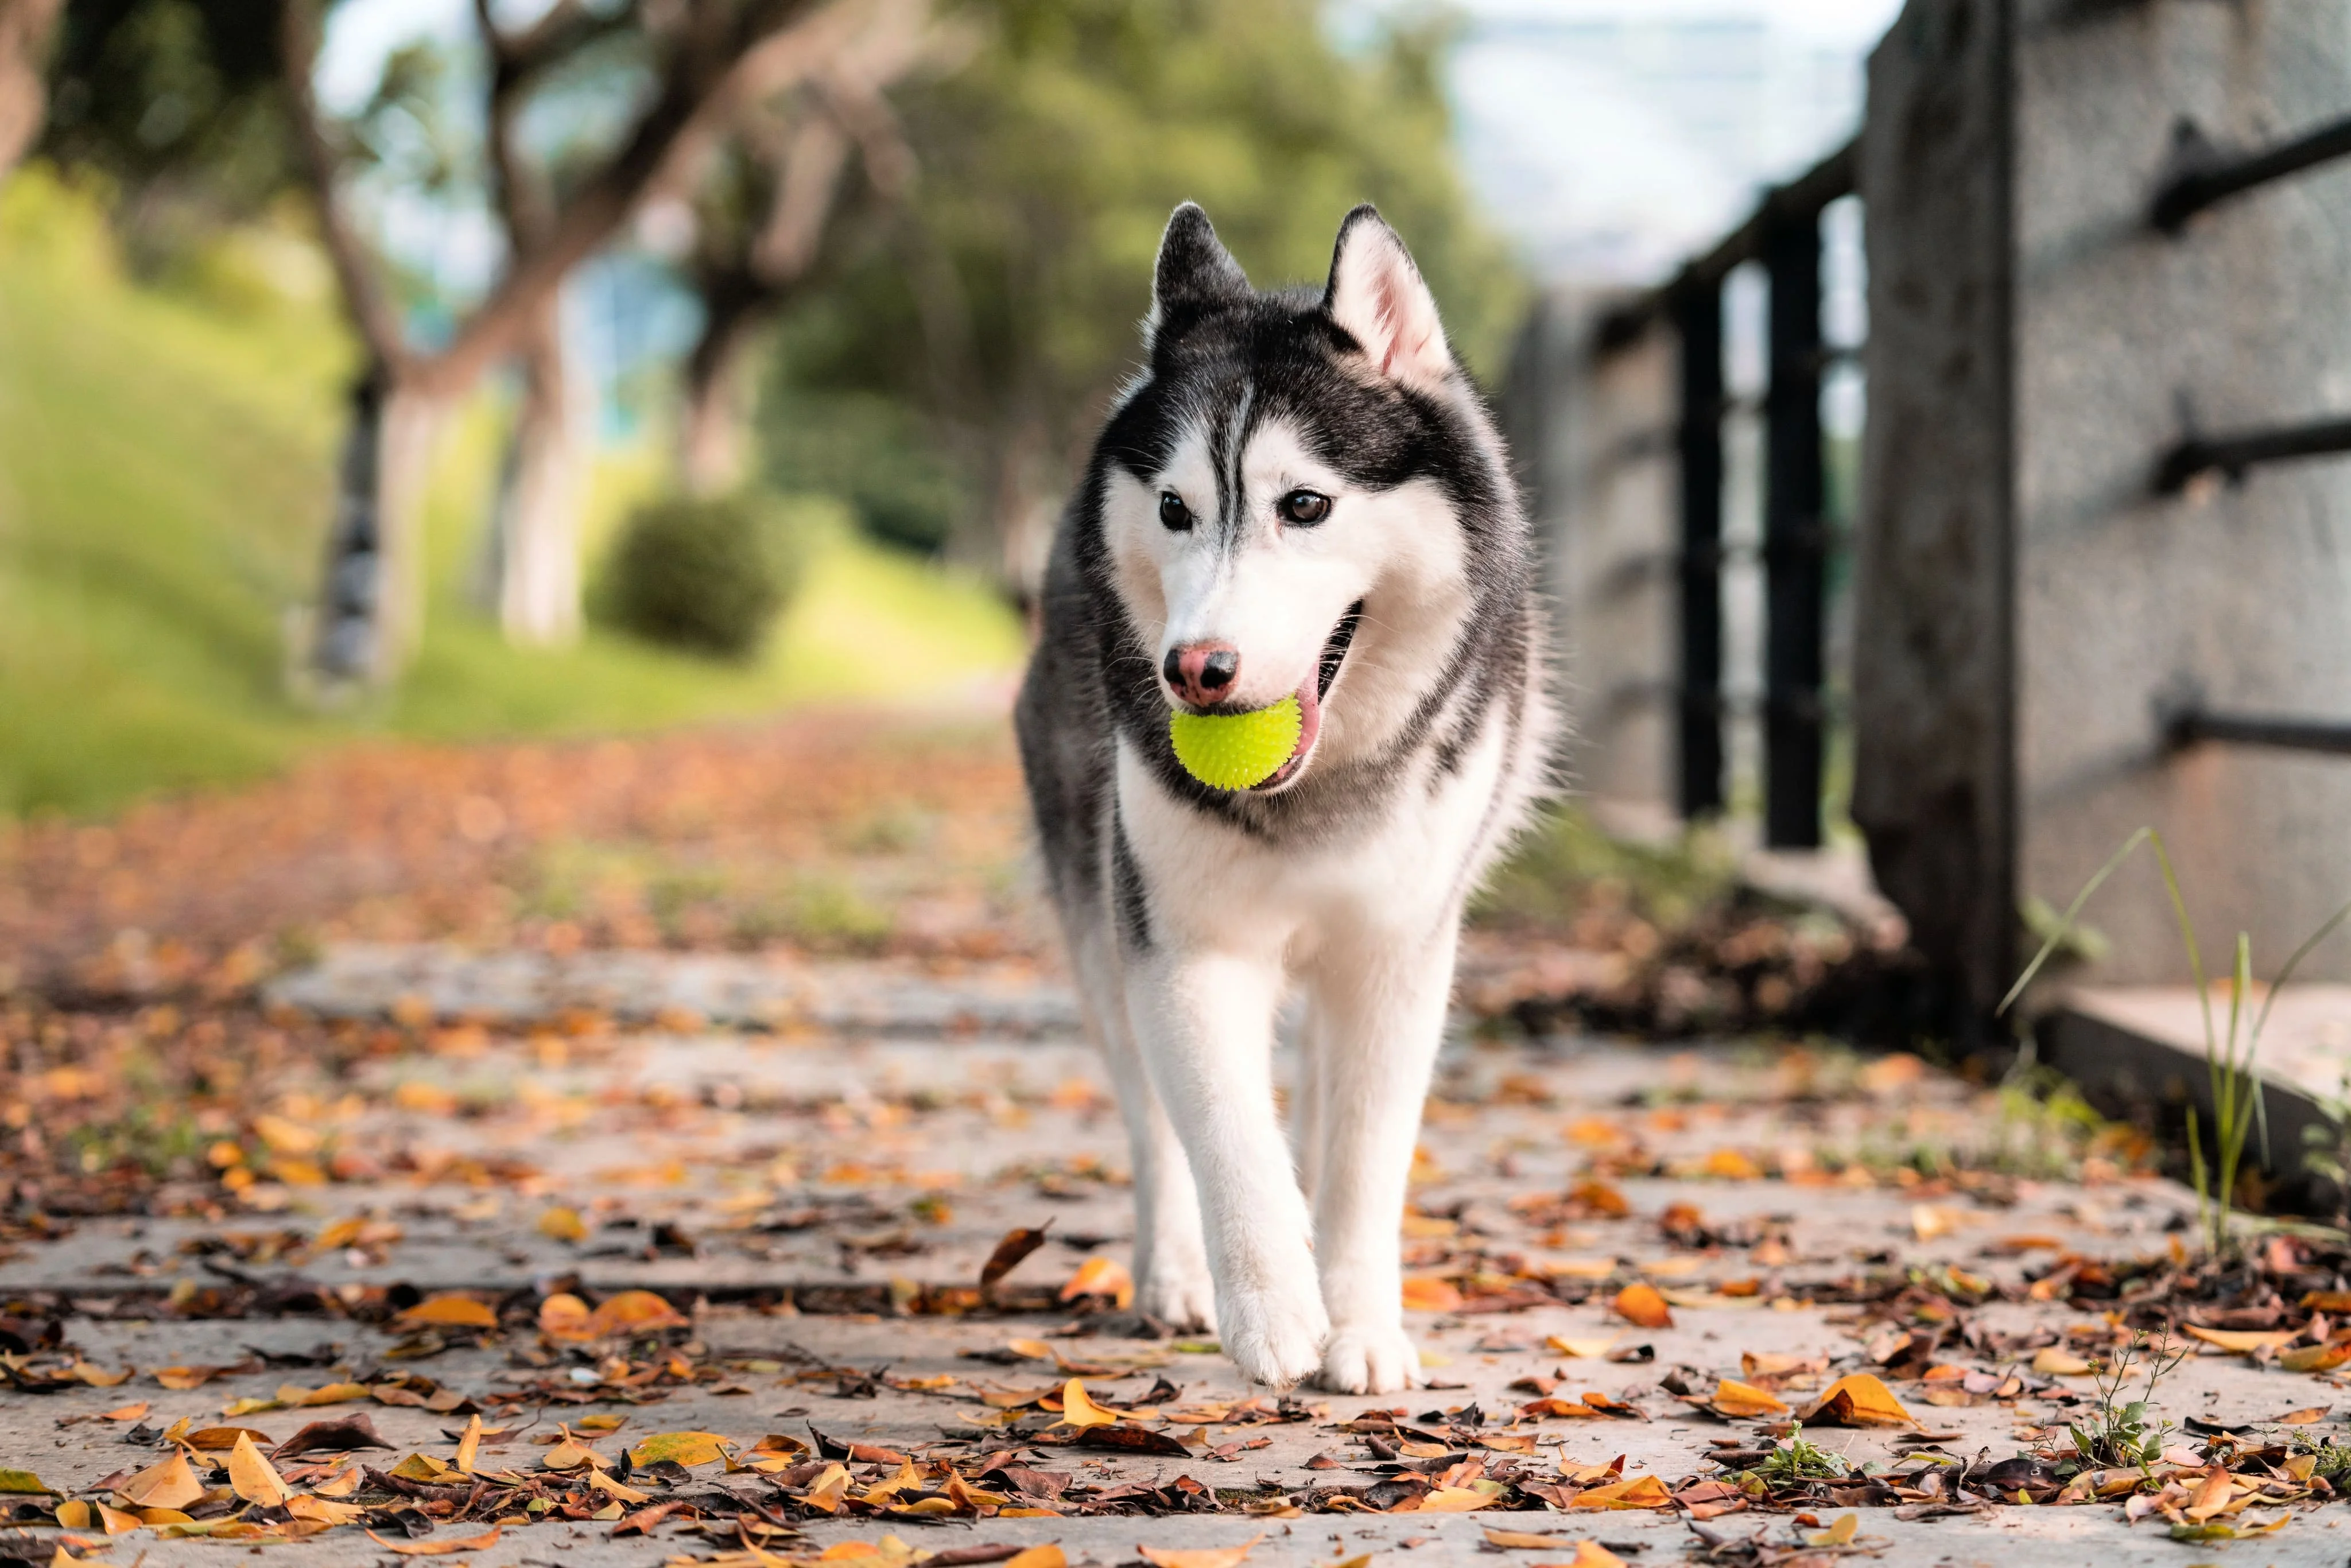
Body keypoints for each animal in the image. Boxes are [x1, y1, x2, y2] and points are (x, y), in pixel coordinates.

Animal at [1015, 202, 1551, 1391]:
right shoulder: (1183, 946)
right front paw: (1270, 1309)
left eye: (1304, 505)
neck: (1314, 794)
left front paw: (1361, 1327)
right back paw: (1172, 1273)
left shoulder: (1398, 955)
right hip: (1094, 918)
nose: (1194, 671)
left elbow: (1362, 1159)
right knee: (1150, 1118)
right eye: (1175, 508)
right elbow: (1223, 1129)